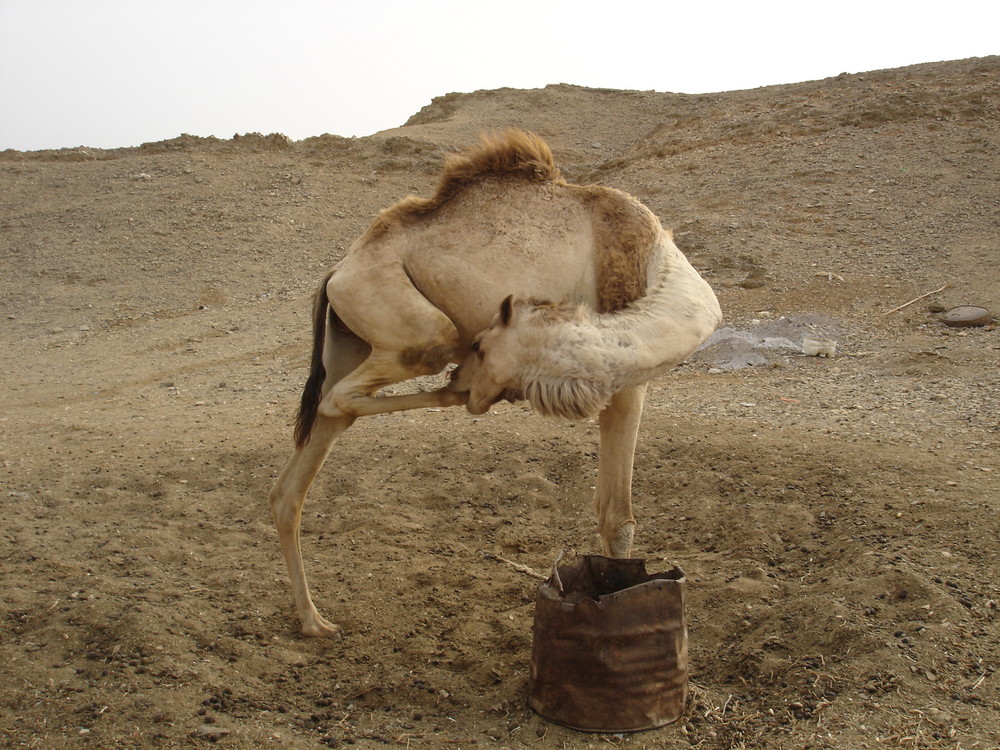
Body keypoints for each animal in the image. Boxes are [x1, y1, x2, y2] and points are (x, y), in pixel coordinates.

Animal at [268, 132, 720, 636]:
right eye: (481, 343)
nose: (470, 372)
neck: (660, 263)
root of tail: (335, 274)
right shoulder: (624, 374)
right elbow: (618, 518)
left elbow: (608, 511)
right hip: (415, 328)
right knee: (343, 397)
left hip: (349, 338)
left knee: (303, 464)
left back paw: (313, 621)